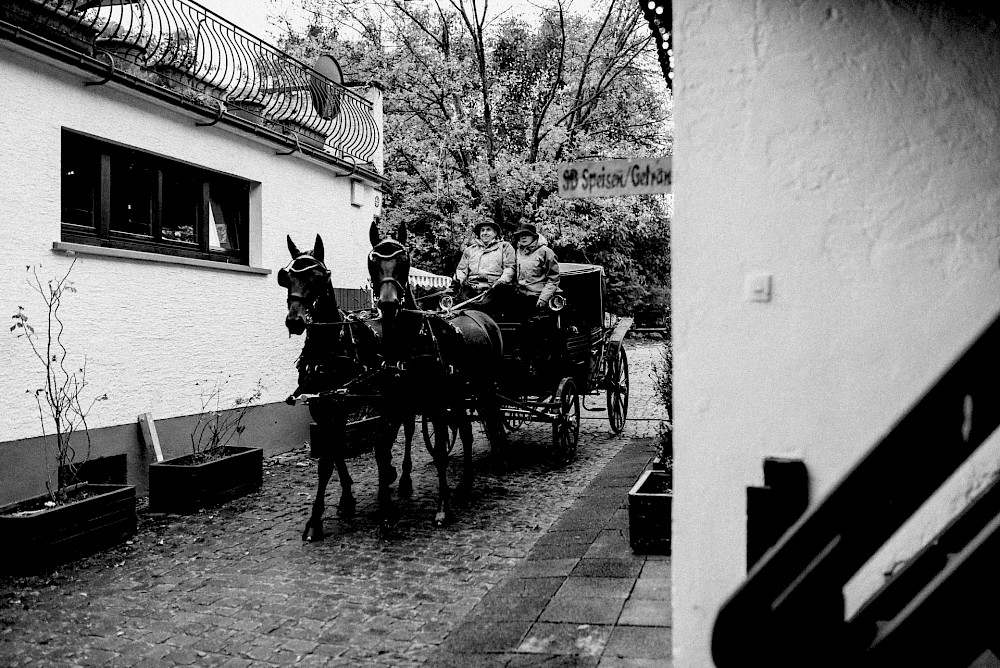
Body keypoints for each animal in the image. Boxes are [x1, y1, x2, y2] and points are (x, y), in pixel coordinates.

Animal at [280, 234, 400, 536]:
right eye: (287, 278)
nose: (295, 321)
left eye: (318, 277)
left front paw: (315, 520)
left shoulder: (340, 403)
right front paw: (345, 499)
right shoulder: (322, 406)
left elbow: (327, 460)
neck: (328, 348)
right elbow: (333, 453)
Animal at [368, 222, 508, 524]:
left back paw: (499, 463)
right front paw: (385, 506)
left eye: (404, 259)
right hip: (460, 395)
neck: (409, 342)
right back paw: (466, 483)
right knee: (466, 432)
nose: (388, 303)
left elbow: (442, 452)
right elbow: (382, 448)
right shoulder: (394, 404)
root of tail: (483, 317)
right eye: (373, 260)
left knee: (492, 421)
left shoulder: (435, 404)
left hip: (485, 387)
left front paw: (443, 507)